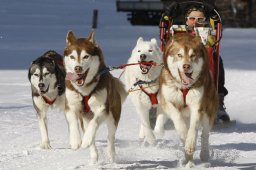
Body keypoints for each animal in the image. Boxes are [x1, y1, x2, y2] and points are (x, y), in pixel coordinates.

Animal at [63, 30, 127, 162]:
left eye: (86, 56)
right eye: (72, 57)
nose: (78, 68)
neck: (84, 90)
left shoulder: (102, 108)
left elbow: (95, 122)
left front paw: (86, 139)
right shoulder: (70, 106)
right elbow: (73, 122)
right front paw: (75, 141)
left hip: (113, 116)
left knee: (110, 136)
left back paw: (110, 153)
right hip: (85, 118)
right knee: (90, 133)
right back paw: (93, 153)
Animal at [160, 33, 218, 167]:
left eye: (192, 55)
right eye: (179, 55)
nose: (186, 66)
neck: (184, 87)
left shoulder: (197, 105)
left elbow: (194, 127)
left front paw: (190, 142)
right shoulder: (167, 102)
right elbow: (178, 119)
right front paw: (183, 133)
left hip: (208, 112)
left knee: (205, 134)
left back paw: (203, 154)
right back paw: (188, 160)